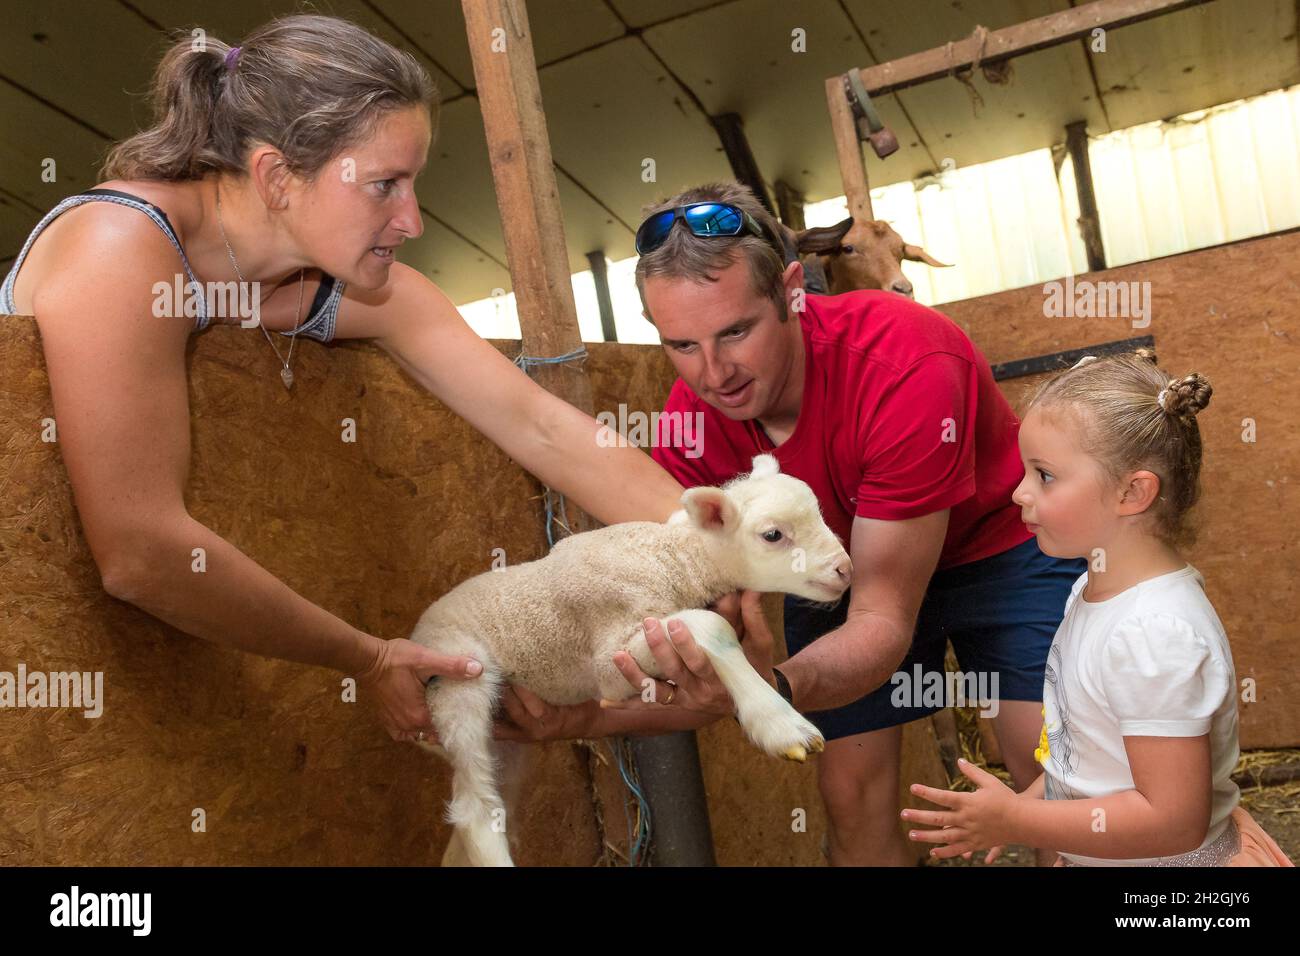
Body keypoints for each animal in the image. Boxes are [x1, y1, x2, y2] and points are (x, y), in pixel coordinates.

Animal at [410, 455, 847, 868]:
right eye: (773, 535)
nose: (846, 569)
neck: (668, 558)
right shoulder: (610, 664)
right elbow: (712, 625)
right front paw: (782, 725)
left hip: (504, 745)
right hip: (457, 682)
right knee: (474, 811)